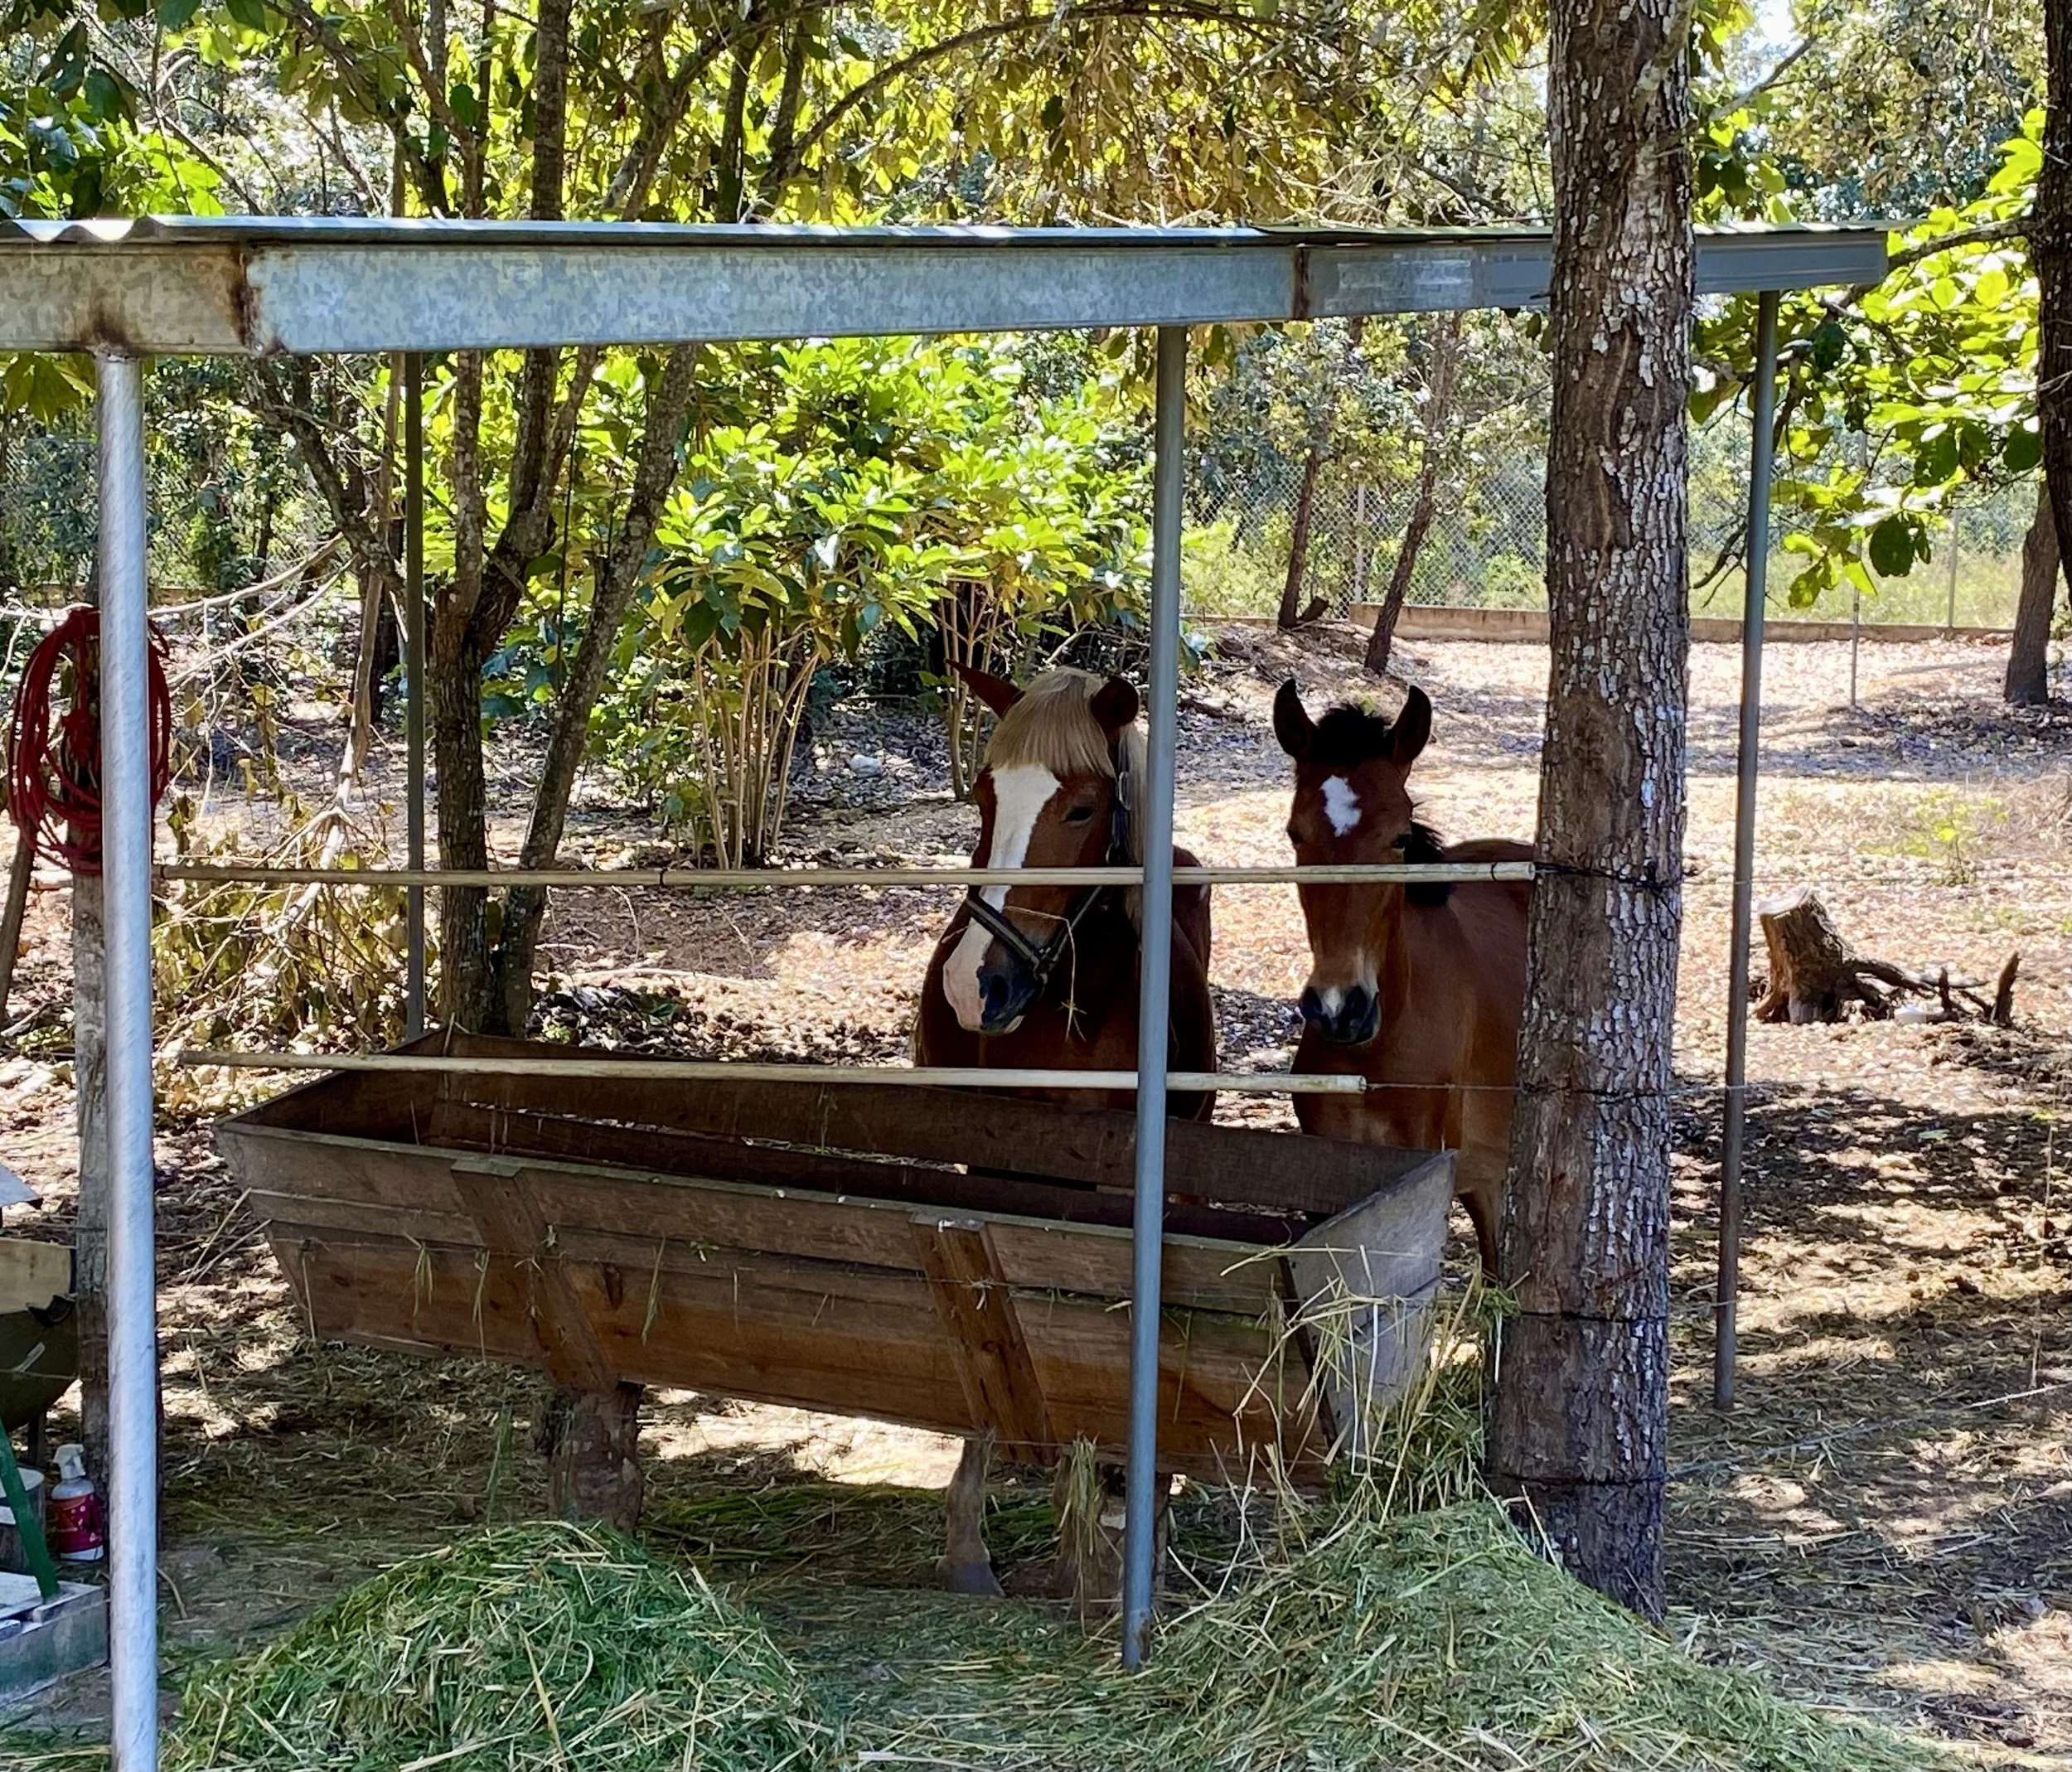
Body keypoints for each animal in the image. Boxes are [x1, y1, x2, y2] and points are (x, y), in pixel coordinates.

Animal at [913, 663, 1217, 1598]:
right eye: (985, 793)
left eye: (1081, 810)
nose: (974, 986)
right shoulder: (983, 1162)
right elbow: (977, 1293)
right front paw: (967, 1537)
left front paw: (1101, 1519)